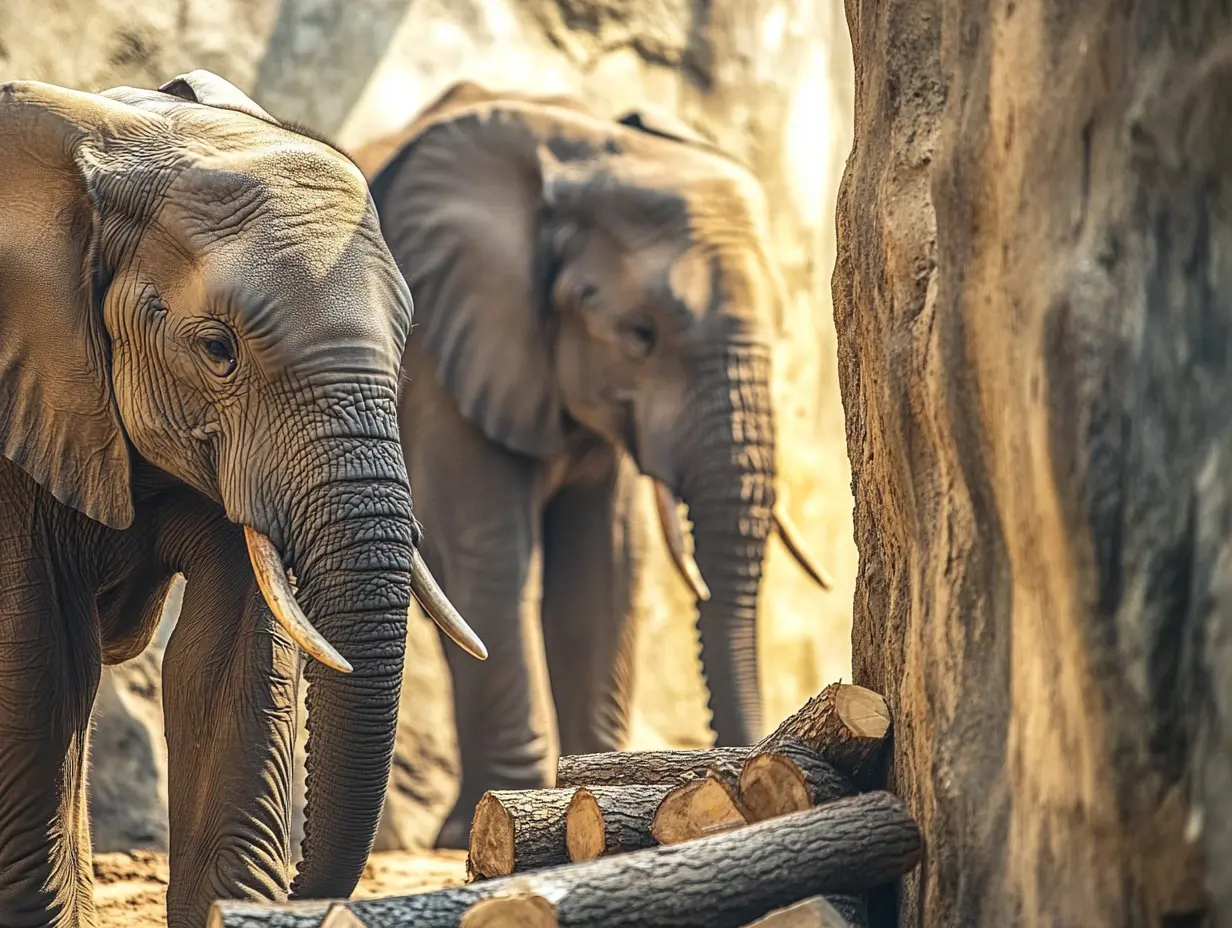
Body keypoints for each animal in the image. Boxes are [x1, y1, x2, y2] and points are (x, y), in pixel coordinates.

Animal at [356, 81, 832, 848]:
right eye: (640, 336)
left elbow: (605, 566)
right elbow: (490, 549)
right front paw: (505, 810)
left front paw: (593, 788)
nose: (746, 776)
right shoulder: (444, 347)